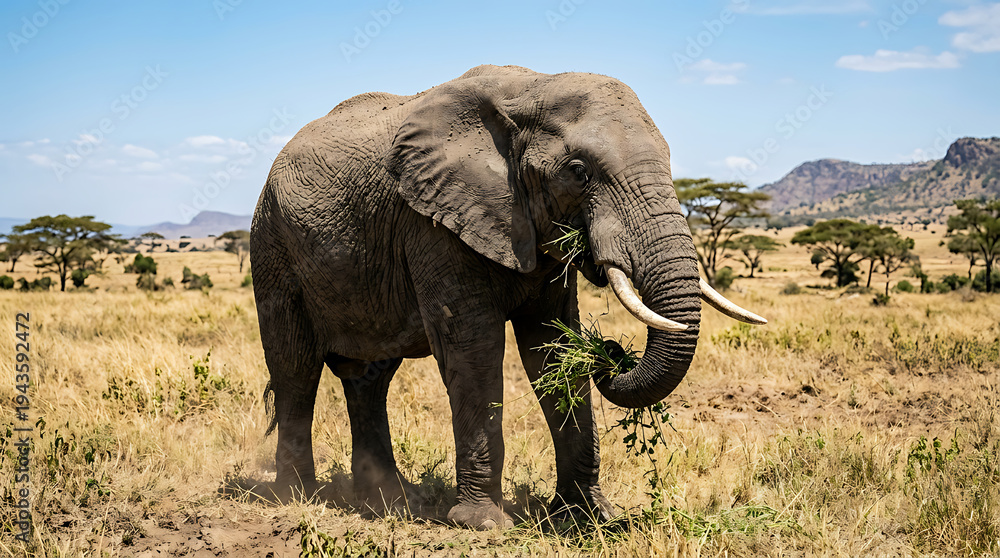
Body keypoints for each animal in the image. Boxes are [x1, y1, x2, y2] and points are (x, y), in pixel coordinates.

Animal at [250, 65, 765, 530]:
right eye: (579, 172)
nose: (613, 352)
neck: (530, 88)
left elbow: (552, 348)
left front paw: (589, 518)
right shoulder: (432, 222)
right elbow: (473, 349)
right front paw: (481, 524)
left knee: (368, 379)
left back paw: (388, 502)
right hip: (273, 247)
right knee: (296, 369)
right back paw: (296, 497)